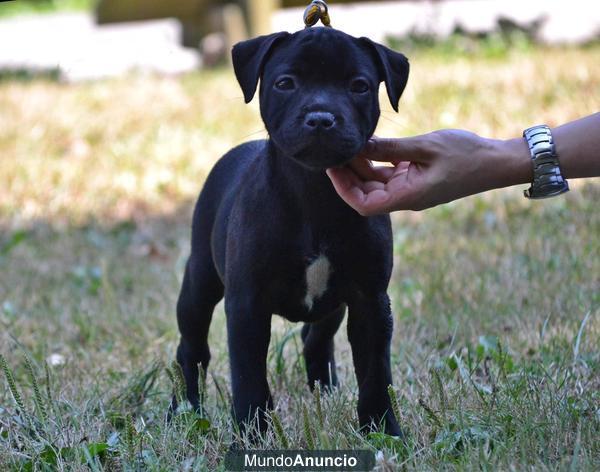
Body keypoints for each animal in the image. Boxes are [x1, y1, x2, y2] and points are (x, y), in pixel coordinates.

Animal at [173, 26, 408, 436]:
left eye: (359, 86)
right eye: (285, 83)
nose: (321, 118)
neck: (313, 190)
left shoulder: (370, 300)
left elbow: (376, 372)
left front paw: (384, 429)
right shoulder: (247, 303)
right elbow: (249, 375)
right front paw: (252, 431)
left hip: (335, 303)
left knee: (316, 337)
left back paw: (324, 391)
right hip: (199, 282)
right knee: (192, 347)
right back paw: (186, 408)